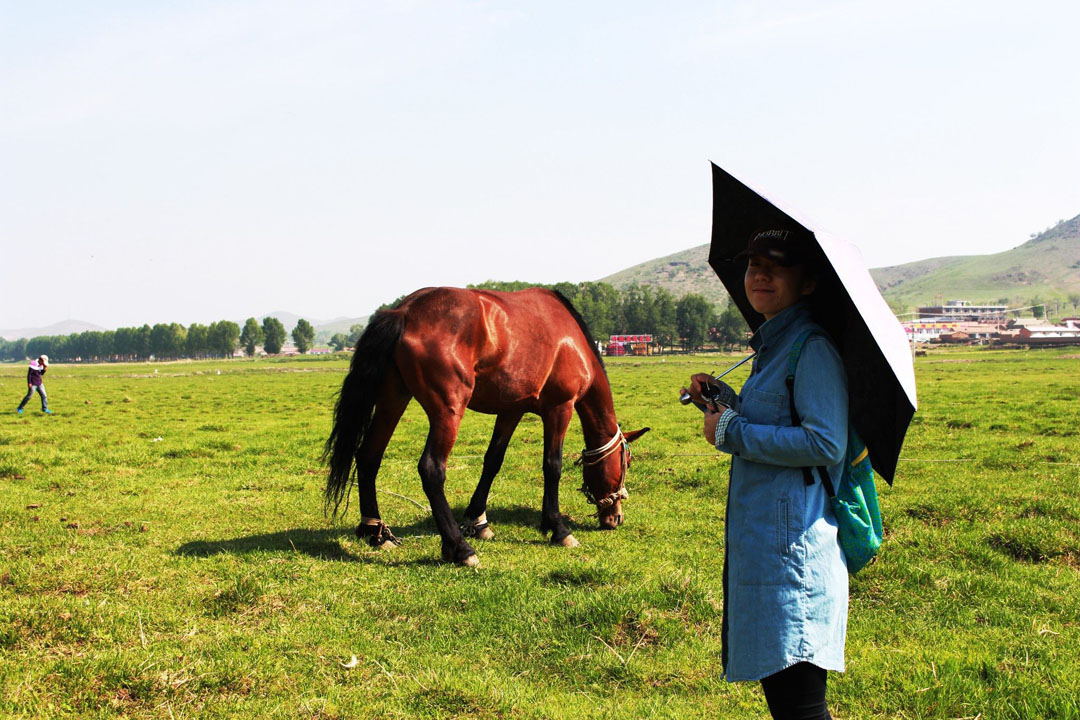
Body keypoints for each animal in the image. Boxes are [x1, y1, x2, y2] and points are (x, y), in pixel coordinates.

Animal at [324, 289, 648, 569]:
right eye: (626, 463)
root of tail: (403, 311)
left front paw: (478, 520)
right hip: (448, 410)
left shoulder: (511, 410)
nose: (616, 518)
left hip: (393, 399)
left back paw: (375, 532)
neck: (571, 341)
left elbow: (492, 461)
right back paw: (459, 548)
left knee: (369, 456)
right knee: (431, 469)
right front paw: (558, 528)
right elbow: (552, 466)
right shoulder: (560, 408)